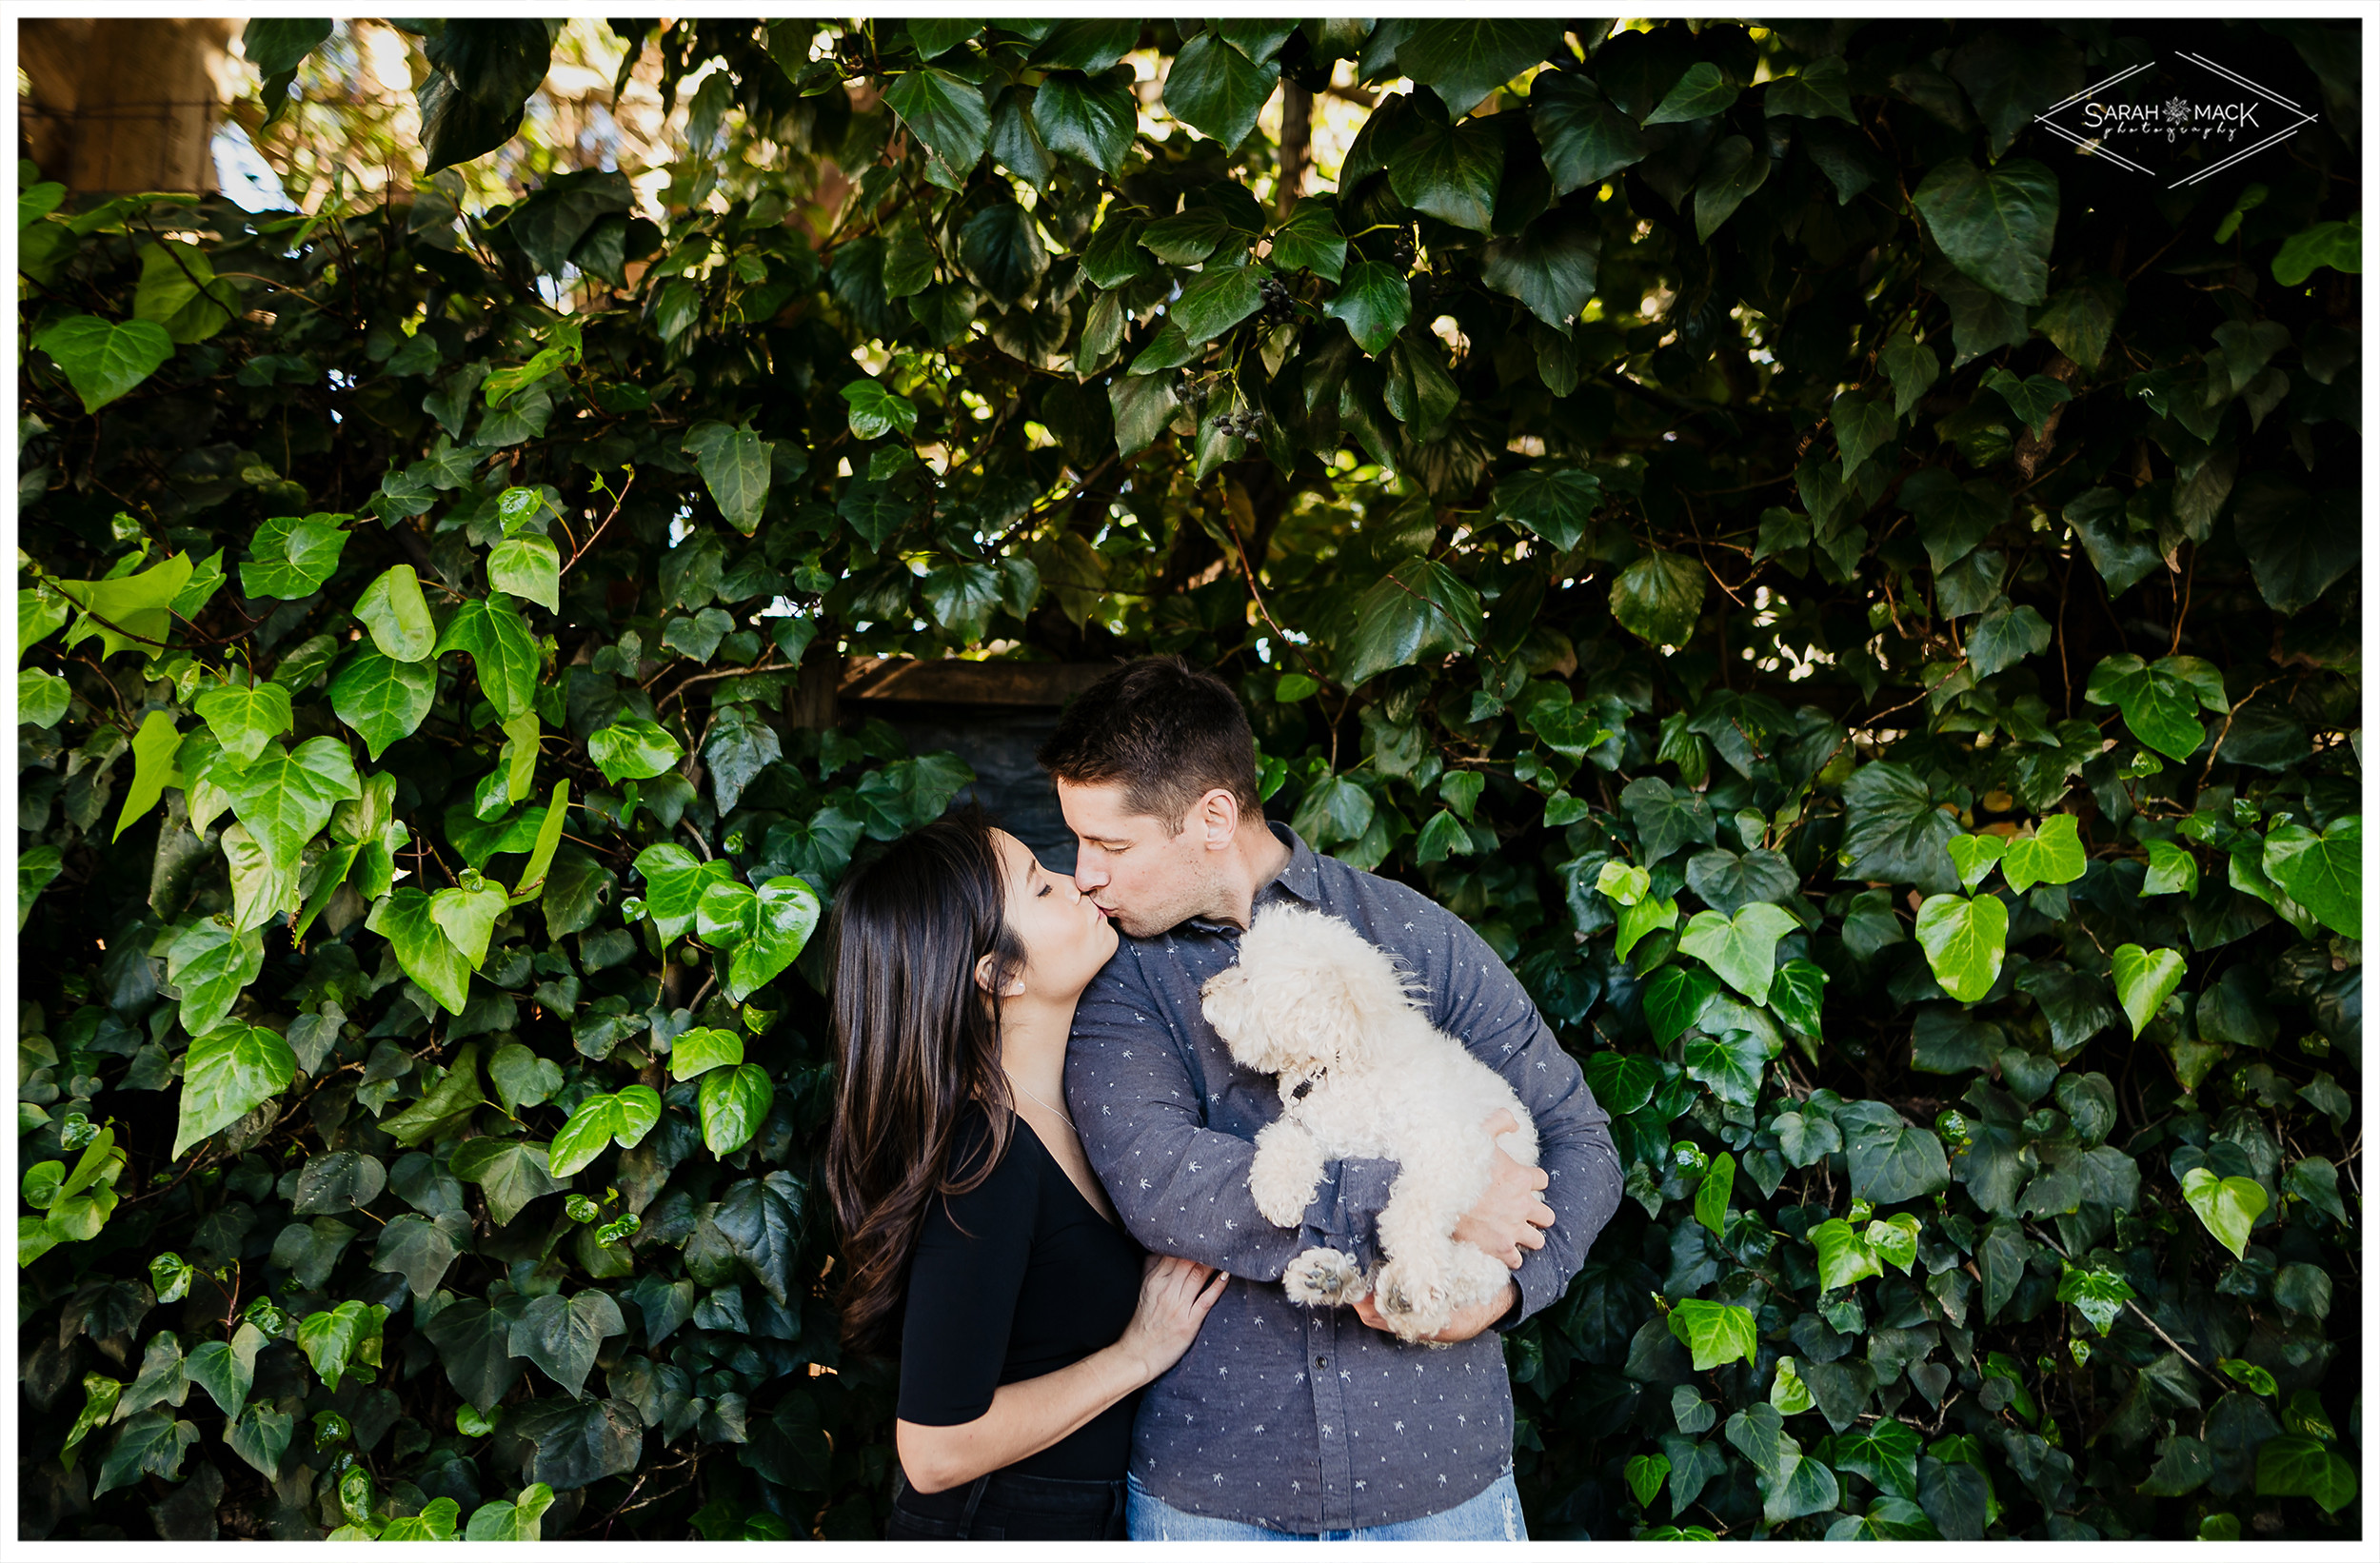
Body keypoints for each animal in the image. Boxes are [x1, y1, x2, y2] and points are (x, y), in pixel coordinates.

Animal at [1209, 903, 1542, 1341]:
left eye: (1246, 979)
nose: (1204, 992)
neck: (1339, 1065)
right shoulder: (1319, 1128)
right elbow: (1285, 1140)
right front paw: (1280, 1192)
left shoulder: (1453, 1148)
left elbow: (1413, 1210)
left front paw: (1417, 1276)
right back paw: (1327, 1277)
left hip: (1491, 1257)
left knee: (1457, 1283)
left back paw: (1402, 1293)